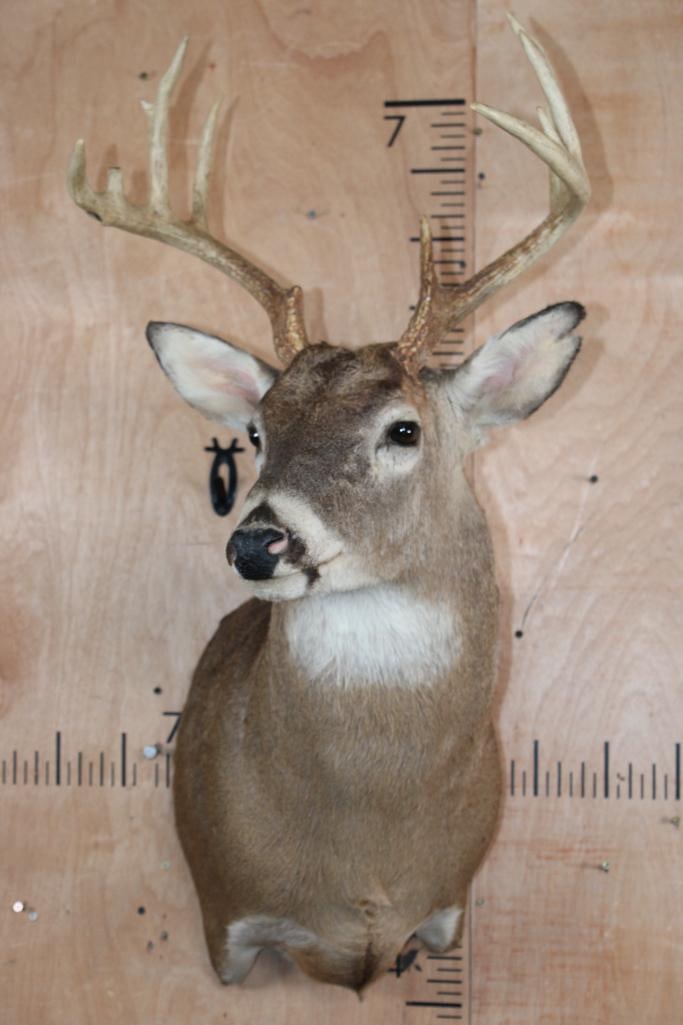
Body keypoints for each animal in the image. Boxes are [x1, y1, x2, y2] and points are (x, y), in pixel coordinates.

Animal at [68, 15, 589, 994]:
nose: (257, 544)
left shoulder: (448, 905)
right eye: (257, 429)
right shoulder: (226, 920)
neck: (365, 853)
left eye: (402, 429)